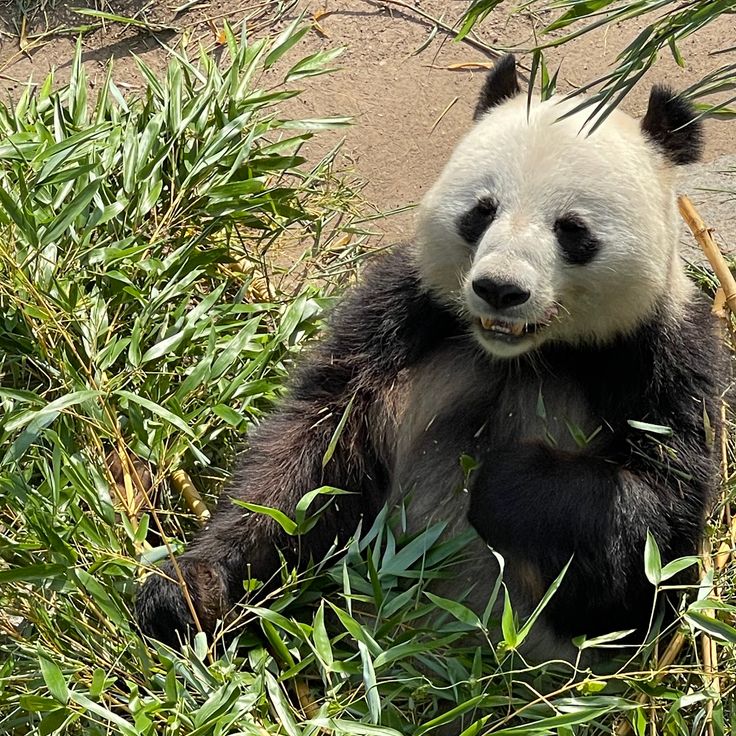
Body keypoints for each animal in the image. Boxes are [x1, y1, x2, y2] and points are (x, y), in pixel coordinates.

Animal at [136, 55, 725, 661]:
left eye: (572, 229)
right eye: (482, 212)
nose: (499, 290)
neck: (522, 354)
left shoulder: (662, 357)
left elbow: (653, 535)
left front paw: (505, 479)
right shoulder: (405, 313)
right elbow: (311, 457)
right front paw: (189, 589)